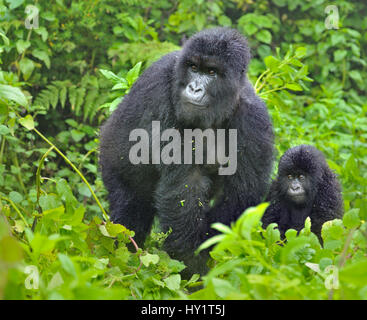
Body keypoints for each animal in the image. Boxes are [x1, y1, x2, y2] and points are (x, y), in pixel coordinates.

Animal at [99, 27, 274, 276]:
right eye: (193, 68)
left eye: (211, 72)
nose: (194, 88)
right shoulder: (159, 89)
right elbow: (183, 193)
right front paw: (190, 268)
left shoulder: (254, 118)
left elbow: (240, 195)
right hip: (110, 158)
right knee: (129, 215)